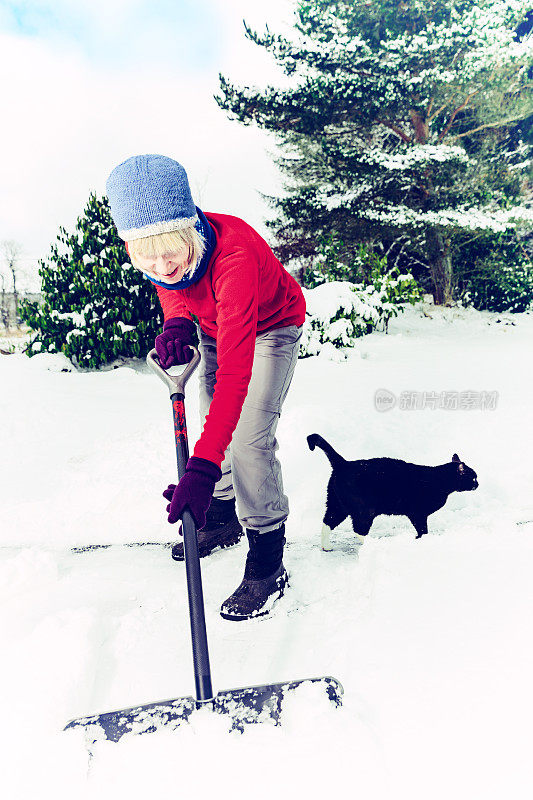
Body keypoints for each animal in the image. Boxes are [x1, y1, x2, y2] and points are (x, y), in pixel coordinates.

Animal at [308, 432, 478, 552]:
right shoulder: (418, 514)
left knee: (327, 522)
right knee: (359, 530)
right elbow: (423, 530)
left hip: (337, 506)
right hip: (364, 510)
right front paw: (421, 541)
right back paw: (373, 546)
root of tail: (344, 463)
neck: (439, 480)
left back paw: (326, 546)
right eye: (473, 477)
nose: (478, 484)